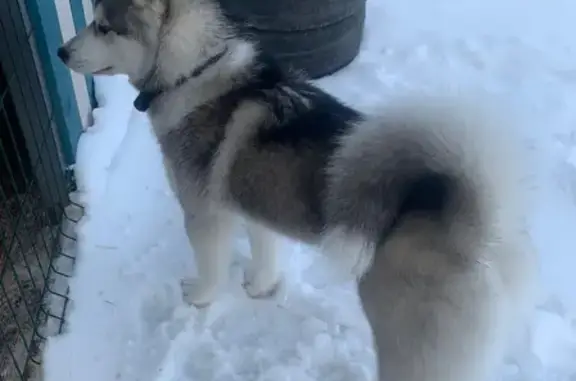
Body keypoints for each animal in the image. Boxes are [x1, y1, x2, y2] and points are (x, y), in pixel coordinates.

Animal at [56, 0, 536, 378]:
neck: (192, 73)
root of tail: (472, 229)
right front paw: (260, 287)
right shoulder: (253, 206)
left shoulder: (203, 215)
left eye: (103, 26)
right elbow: (265, 253)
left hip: (409, 346)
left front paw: (199, 297)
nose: (61, 51)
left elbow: (210, 269)